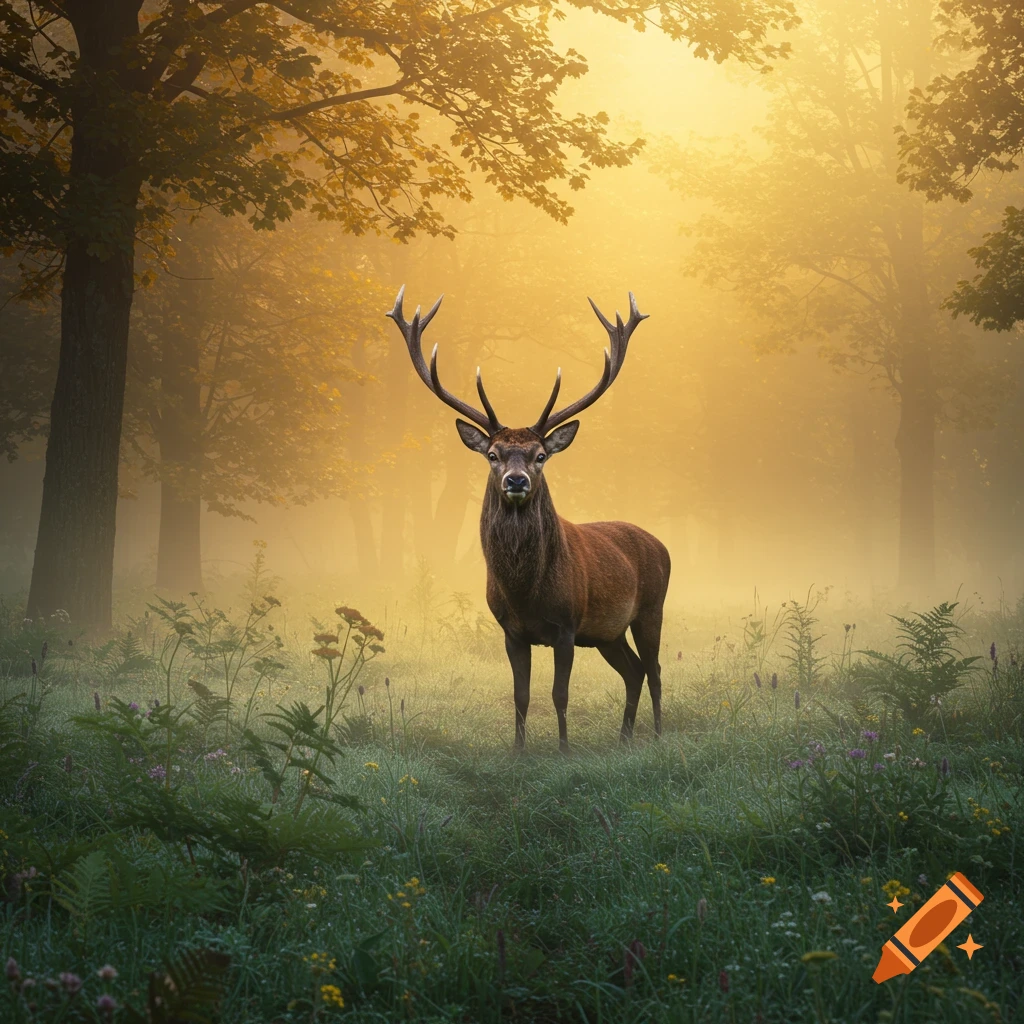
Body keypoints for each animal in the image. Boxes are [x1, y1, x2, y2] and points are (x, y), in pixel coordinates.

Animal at [386, 286, 670, 752]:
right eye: (492, 454)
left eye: (540, 456)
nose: (516, 480)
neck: (525, 592)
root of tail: (663, 545)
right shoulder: (511, 630)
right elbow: (520, 695)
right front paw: (519, 752)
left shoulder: (567, 626)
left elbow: (559, 694)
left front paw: (564, 751)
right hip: (607, 632)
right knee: (634, 672)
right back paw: (624, 738)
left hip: (651, 608)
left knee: (655, 670)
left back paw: (660, 735)